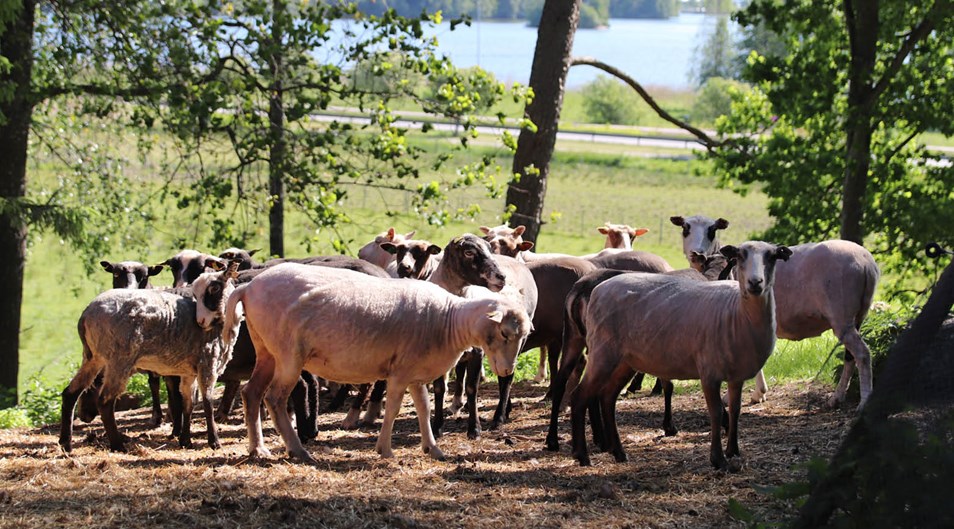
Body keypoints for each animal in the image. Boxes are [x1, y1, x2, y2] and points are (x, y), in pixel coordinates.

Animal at [60, 262, 242, 452]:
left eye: (214, 288)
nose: (201, 322)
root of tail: (86, 314)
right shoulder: (208, 362)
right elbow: (207, 402)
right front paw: (214, 441)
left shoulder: (188, 372)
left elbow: (188, 404)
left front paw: (186, 441)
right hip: (120, 359)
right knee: (105, 401)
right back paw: (118, 445)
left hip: (94, 357)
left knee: (70, 393)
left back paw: (66, 443)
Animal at [572, 239, 788, 466]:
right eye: (739, 256)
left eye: (773, 257)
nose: (755, 283)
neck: (737, 312)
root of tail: (597, 289)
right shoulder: (709, 373)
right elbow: (715, 412)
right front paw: (718, 460)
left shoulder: (736, 376)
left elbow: (736, 411)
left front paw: (733, 451)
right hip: (603, 352)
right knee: (580, 396)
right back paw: (582, 455)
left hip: (625, 361)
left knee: (607, 397)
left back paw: (619, 453)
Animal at [668, 212, 876, 406]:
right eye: (685, 228)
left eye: (712, 230)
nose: (697, 254)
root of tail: (866, 264)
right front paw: (759, 394)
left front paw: (739, 395)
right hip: (858, 314)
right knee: (850, 356)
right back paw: (838, 397)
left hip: (841, 313)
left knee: (862, 354)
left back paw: (863, 401)